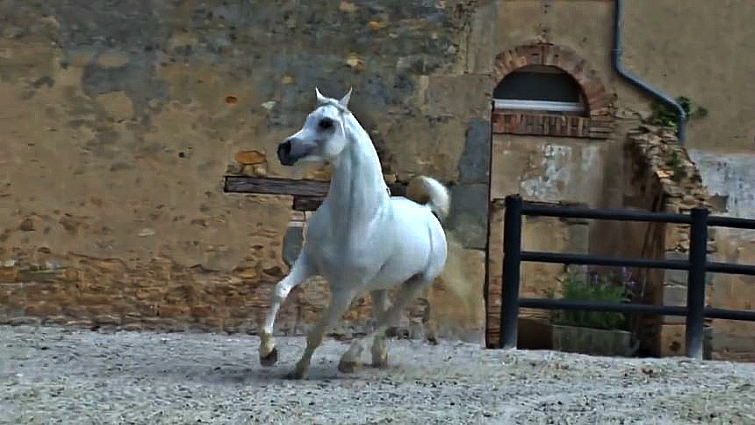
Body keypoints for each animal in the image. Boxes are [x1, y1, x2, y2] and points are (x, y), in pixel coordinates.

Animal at [258, 87, 451, 379]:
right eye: (309, 118)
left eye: (327, 123)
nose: (284, 149)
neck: (355, 220)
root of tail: (428, 212)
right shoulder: (308, 263)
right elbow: (279, 290)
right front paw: (268, 352)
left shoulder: (345, 291)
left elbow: (318, 331)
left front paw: (299, 370)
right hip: (380, 285)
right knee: (383, 315)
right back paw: (378, 357)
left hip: (417, 283)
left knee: (388, 318)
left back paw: (350, 359)